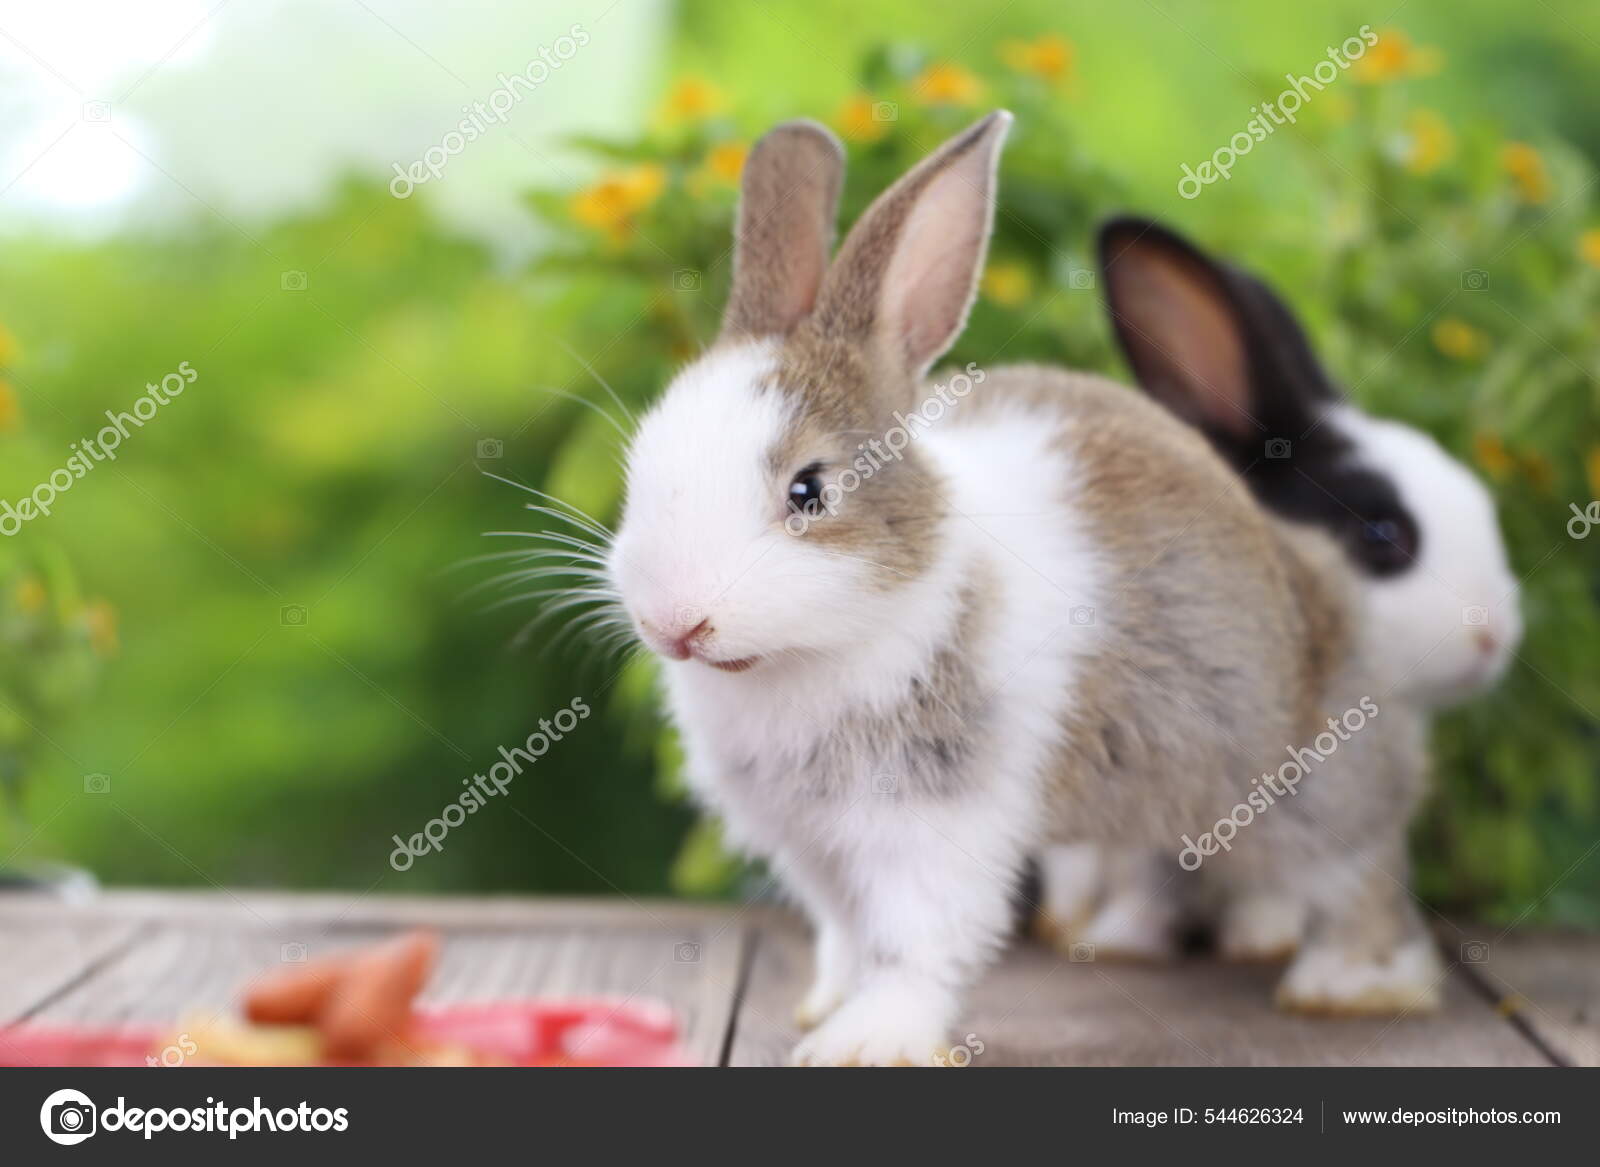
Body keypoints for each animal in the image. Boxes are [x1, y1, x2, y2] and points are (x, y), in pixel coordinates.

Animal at [603, 112, 1438, 1064]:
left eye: (808, 491)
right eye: (641, 463)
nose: (674, 620)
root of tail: (1316, 574)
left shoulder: (932, 827)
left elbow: (919, 942)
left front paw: (868, 1041)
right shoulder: (813, 848)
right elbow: (847, 933)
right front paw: (827, 1007)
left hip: (1305, 788)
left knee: (1360, 870)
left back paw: (1351, 986)